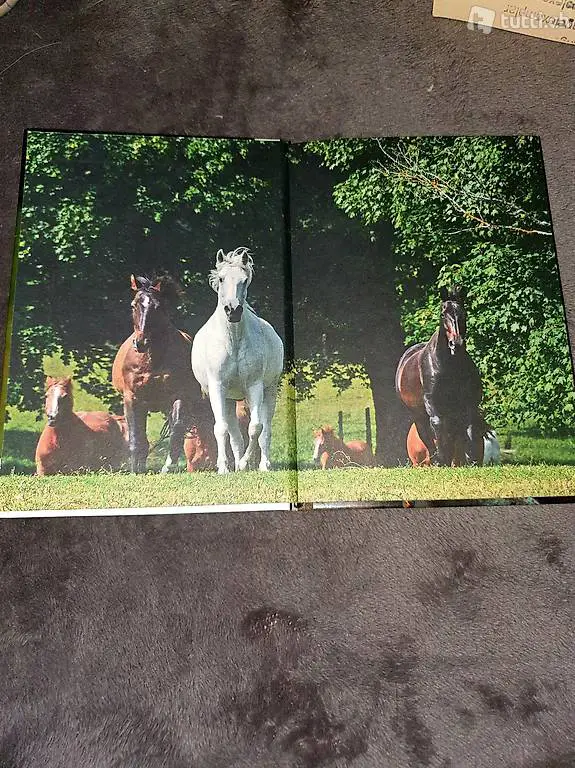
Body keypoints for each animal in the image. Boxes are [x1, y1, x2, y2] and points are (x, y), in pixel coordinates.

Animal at [112, 274, 213, 473]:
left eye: (157, 307)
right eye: (133, 305)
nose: (141, 343)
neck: (152, 360)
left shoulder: (179, 396)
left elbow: (177, 430)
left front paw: (168, 467)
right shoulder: (132, 398)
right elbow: (136, 437)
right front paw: (136, 470)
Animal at [191, 247, 284, 474]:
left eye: (244, 280)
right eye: (221, 278)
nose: (232, 310)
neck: (232, 340)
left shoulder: (254, 386)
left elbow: (256, 427)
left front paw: (242, 464)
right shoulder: (217, 387)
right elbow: (221, 428)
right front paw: (224, 468)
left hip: (269, 391)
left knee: (265, 430)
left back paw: (262, 464)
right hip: (228, 398)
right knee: (234, 435)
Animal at [395, 285, 483, 467]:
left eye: (463, 313)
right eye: (443, 314)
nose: (456, 344)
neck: (449, 364)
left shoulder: (468, 401)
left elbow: (470, 426)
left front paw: (471, 460)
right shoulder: (432, 402)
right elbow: (437, 425)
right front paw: (443, 459)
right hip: (418, 413)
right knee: (426, 433)